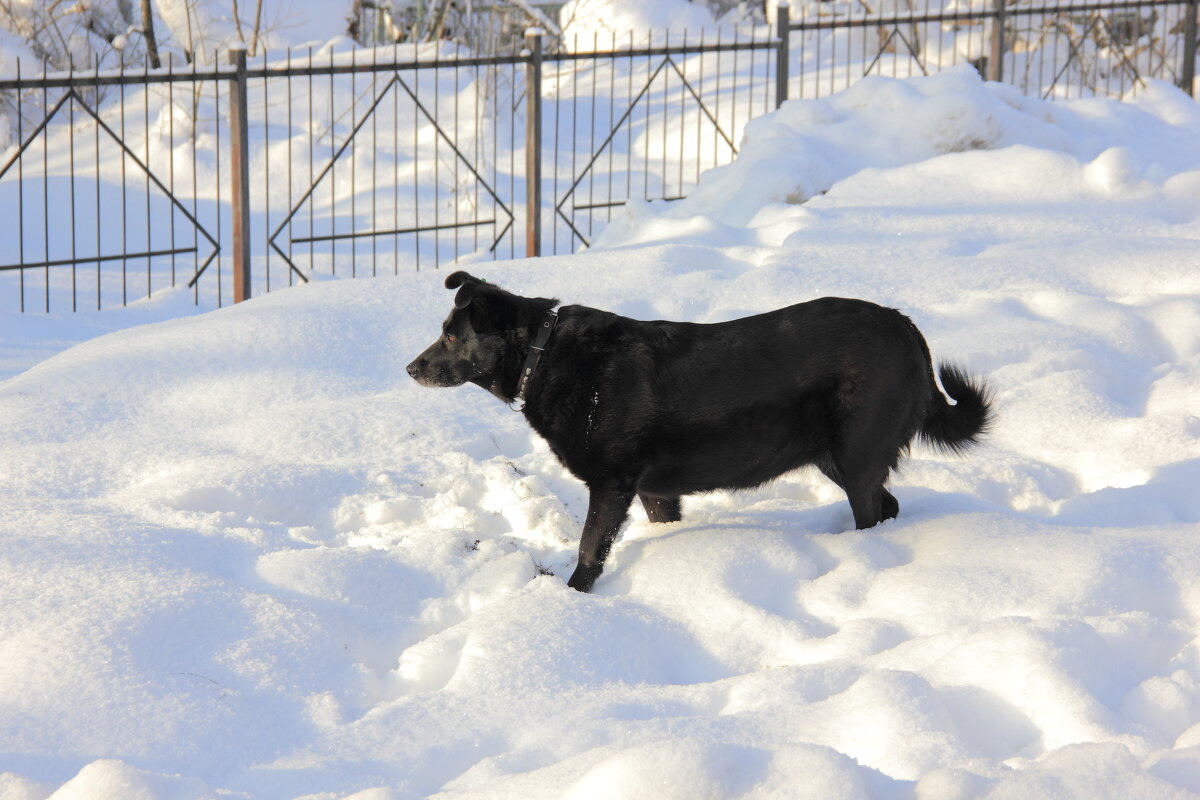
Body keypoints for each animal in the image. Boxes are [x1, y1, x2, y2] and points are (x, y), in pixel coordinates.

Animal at [408, 272, 988, 592]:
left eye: (451, 337)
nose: (411, 369)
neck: (544, 353)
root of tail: (907, 327)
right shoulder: (654, 491)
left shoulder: (612, 484)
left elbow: (589, 551)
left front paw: (574, 602)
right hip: (836, 457)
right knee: (889, 505)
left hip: (856, 455)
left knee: (874, 509)